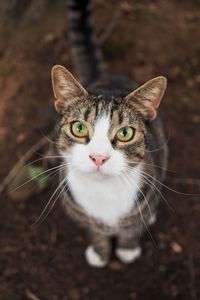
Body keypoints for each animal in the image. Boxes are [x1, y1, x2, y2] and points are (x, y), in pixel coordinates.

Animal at [50, 0, 167, 268]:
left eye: (125, 133)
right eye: (79, 128)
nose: (99, 158)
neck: (104, 193)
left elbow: (132, 228)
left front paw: (127, 249)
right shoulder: (80, 212)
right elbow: (94, 231)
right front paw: (100, 252)